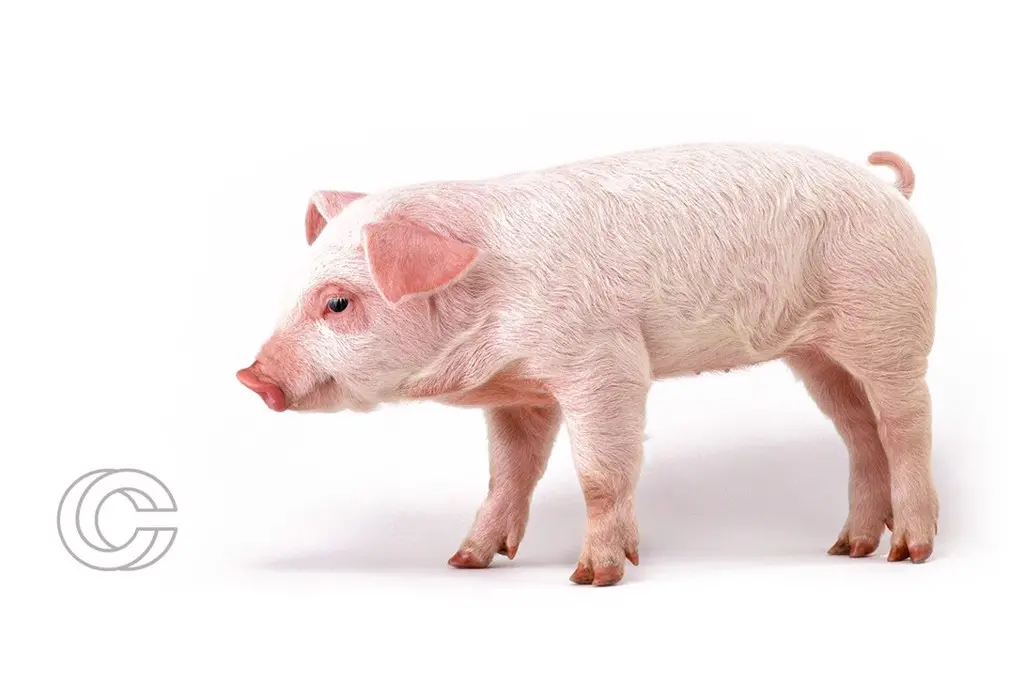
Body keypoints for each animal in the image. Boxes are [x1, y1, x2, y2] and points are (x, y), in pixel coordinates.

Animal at [237, 143, 938, 586]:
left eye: (338, 302)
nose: (251, 377)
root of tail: (890, 191)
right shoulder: (517, 392)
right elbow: (508, 474)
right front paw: (463, 563)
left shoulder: (605, 362)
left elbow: (600, 472)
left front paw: (592, 577)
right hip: (816, 356)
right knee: (859, 433)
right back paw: (847, 550)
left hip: (891, 326)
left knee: (906, 425)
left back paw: (909, 553)